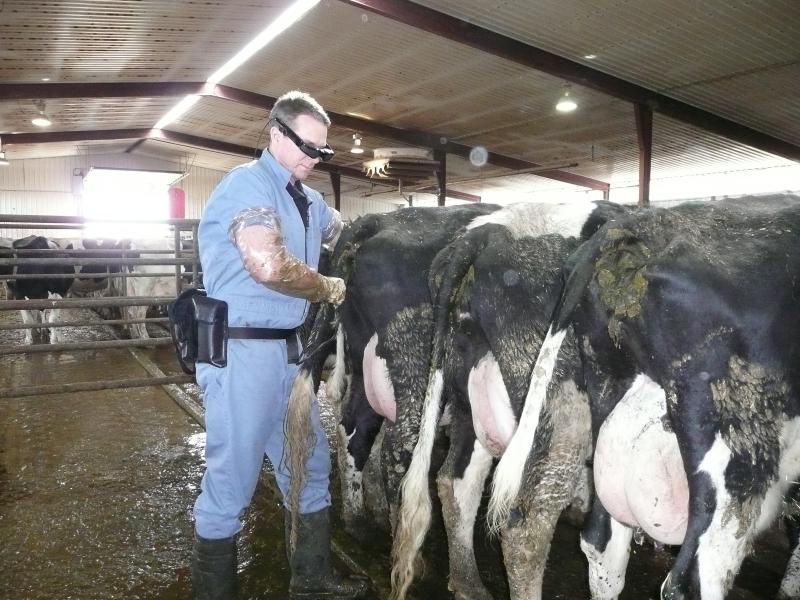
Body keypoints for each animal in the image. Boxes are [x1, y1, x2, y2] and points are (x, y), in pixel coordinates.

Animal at [390, 201, 630, 600]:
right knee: (527, 525)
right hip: (560, 405)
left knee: (455, 481)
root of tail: (487, 231)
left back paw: (469, 584)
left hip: (468, 399)